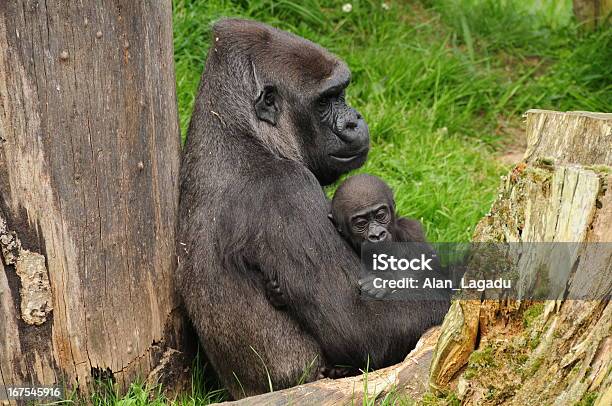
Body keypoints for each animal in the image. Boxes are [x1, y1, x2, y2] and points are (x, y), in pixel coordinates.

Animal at [177, 19, 444, 400]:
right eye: (325, 100)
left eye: (341, 93)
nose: (354, 120)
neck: (241, 130)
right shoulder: (287, 192)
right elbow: (363, 326)